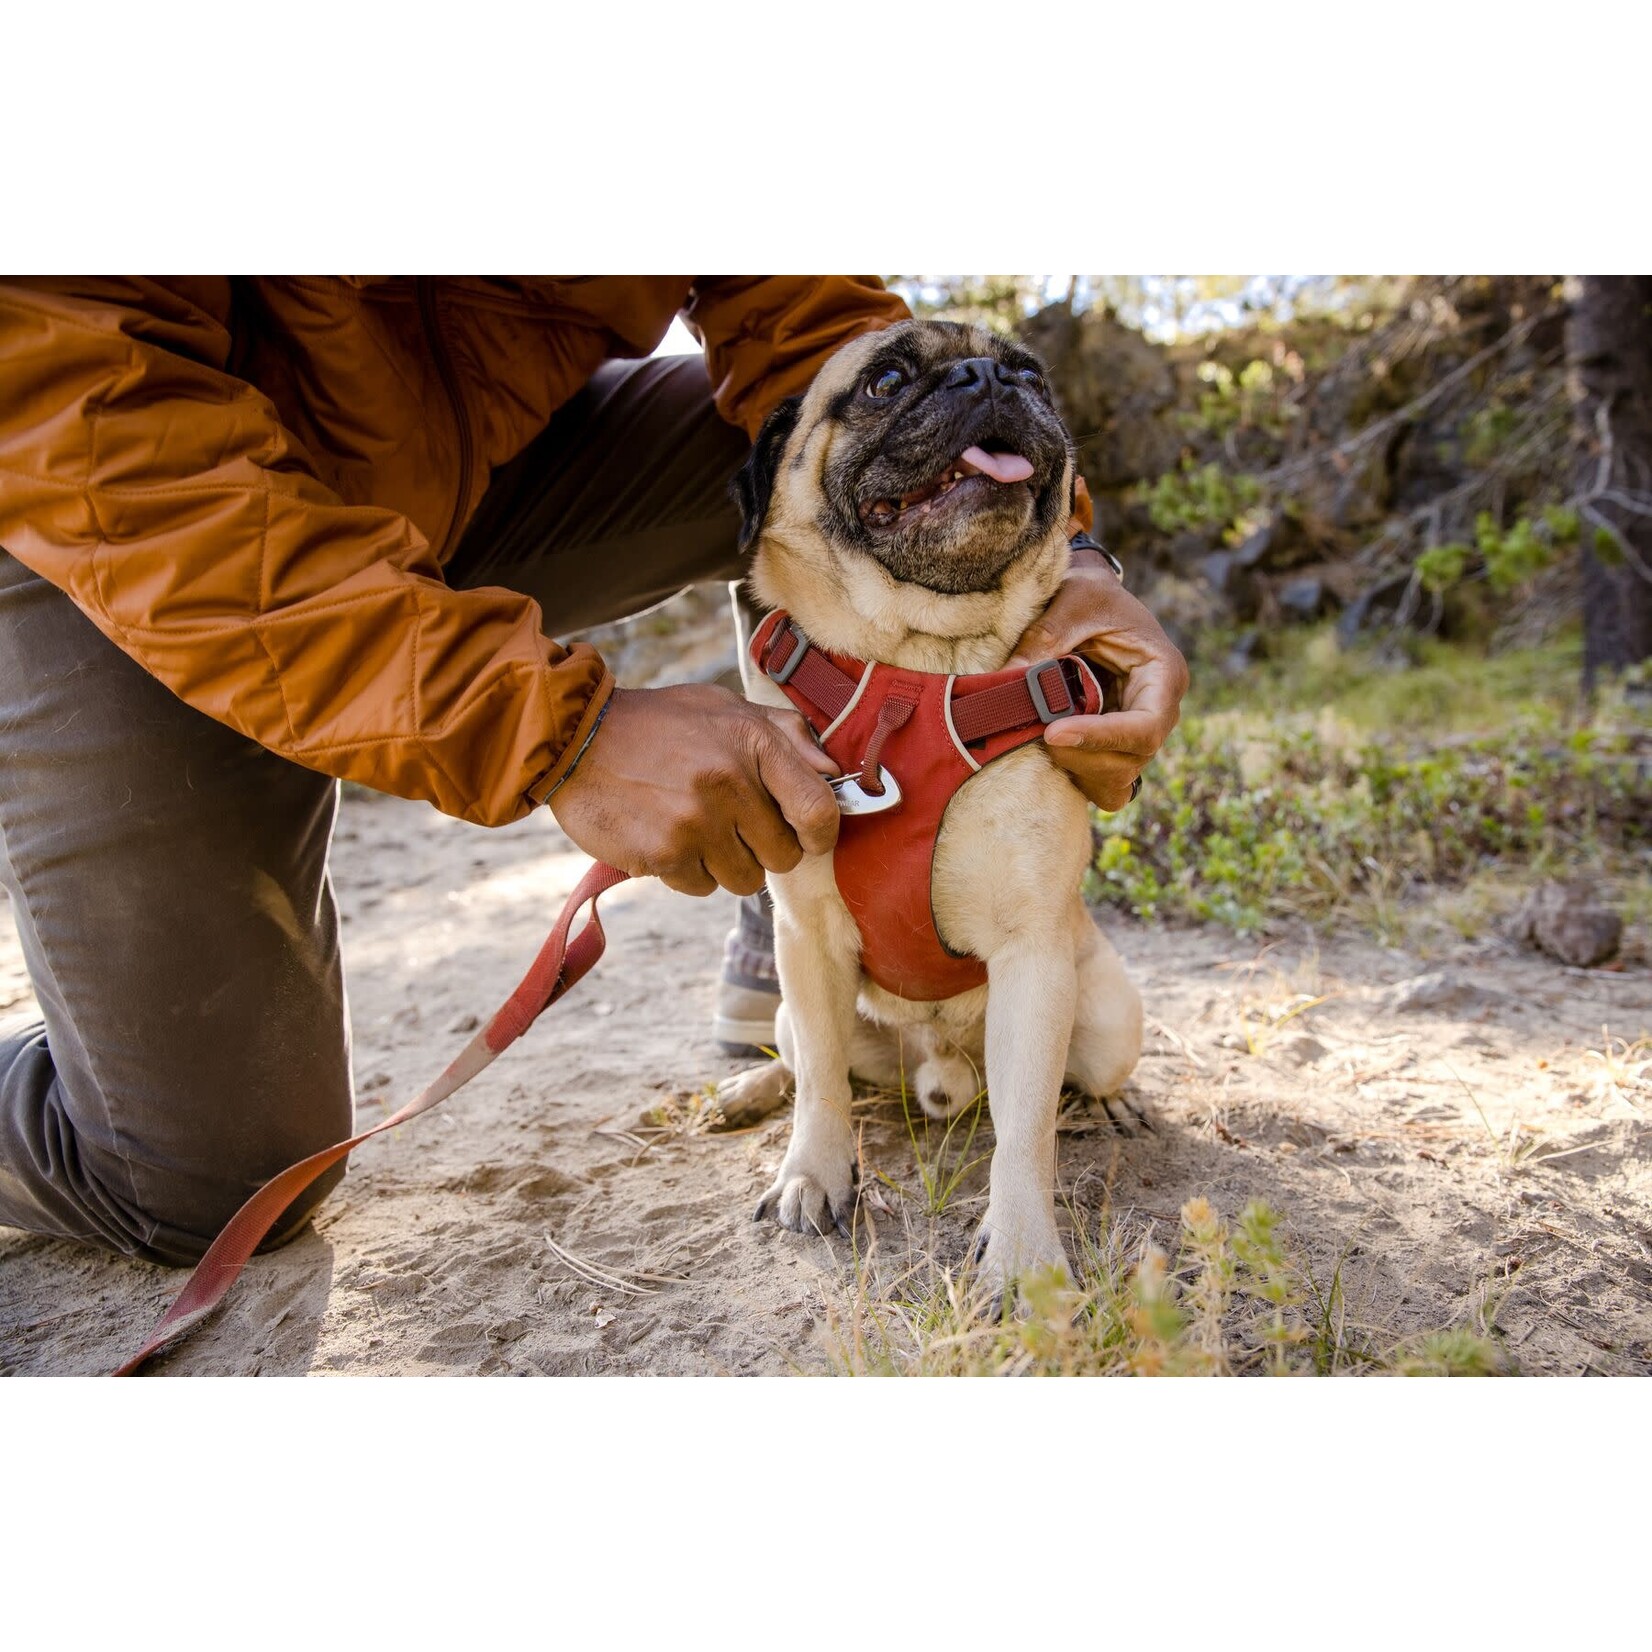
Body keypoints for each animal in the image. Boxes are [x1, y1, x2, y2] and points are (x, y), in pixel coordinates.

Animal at [730, 312, 1143, 1288]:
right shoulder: (806, 938)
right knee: (807, 1063)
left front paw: (1024, 1247)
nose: (988, 375)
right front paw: (812, 1175)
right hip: (796, 1005)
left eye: (1033, 374)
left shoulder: (1034, 959)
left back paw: (1107, 1107)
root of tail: (938, 1072)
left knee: (1077, 1081)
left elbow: (1024, 1132)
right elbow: (822, 1090)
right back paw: (749, 1090)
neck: (920, 673)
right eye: (884, 381)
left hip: (1109, 1013)